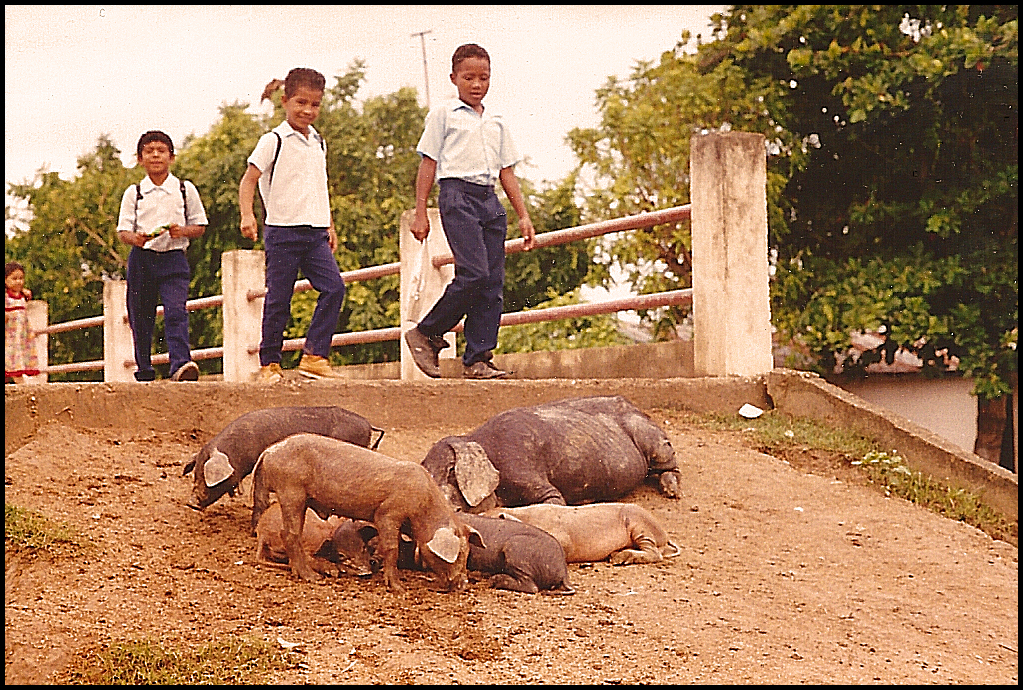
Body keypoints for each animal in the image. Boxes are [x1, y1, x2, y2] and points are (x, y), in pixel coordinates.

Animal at [419, 393, 683, 509]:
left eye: (452, 472)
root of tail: (634, 405)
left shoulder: (526, 472)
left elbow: (554, 500)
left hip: (654, 440)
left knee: (670, 466)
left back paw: (672, 493)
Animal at [480, 499, 679, 565]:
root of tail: (665, 536)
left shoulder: (563, 537)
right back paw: (613, 556)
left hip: (640, 525)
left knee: (654, 554)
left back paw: (618, 559)